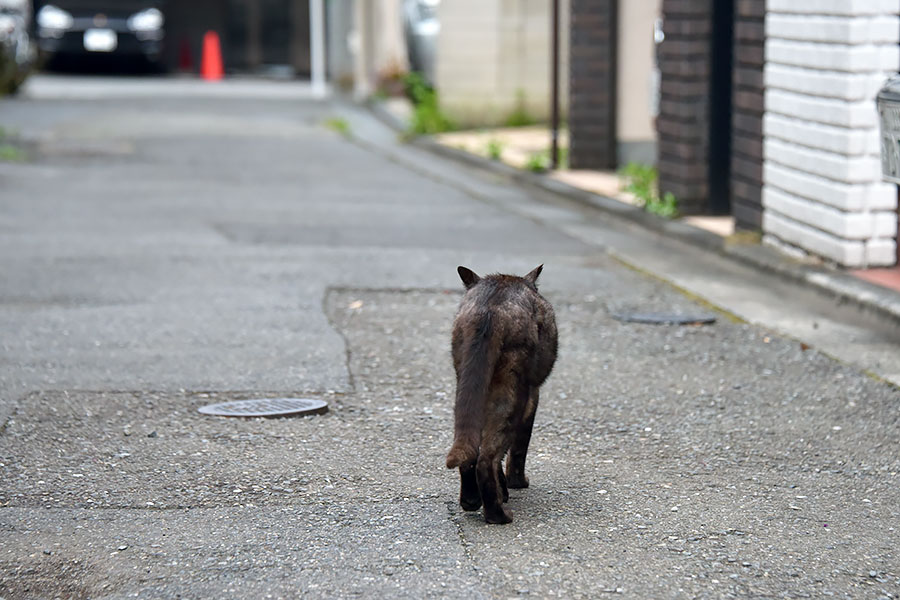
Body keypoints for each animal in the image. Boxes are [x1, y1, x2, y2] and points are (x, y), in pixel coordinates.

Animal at [442, 264, 556, 524]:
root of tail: (490, 309)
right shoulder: (533, 396)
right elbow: (518, 448)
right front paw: (515, 484)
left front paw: (503, 490)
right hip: (513, 394)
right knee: (488, 458)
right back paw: (498, 515)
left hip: (467, 385)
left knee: (474, 451)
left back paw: (471, 501)